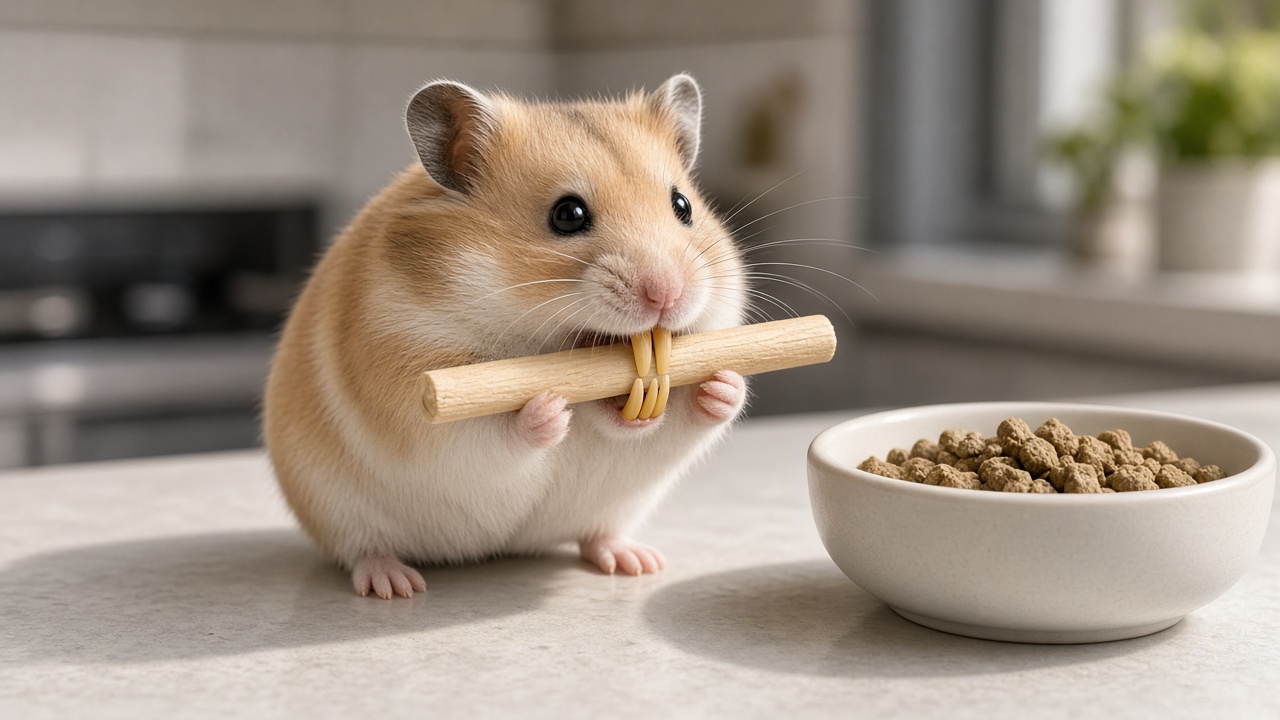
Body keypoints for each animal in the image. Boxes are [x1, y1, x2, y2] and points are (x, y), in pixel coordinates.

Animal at [262, 74, 749, 598]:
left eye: (683, 206)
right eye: (568, 214)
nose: (667, 295)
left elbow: (674, 418)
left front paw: (723, 386)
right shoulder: (412, 391)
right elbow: (490, 432)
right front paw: (548, 408)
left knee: (597, 535)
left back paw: (638, 562)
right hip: (337, 509)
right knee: (362, 550)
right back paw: (396, 585)